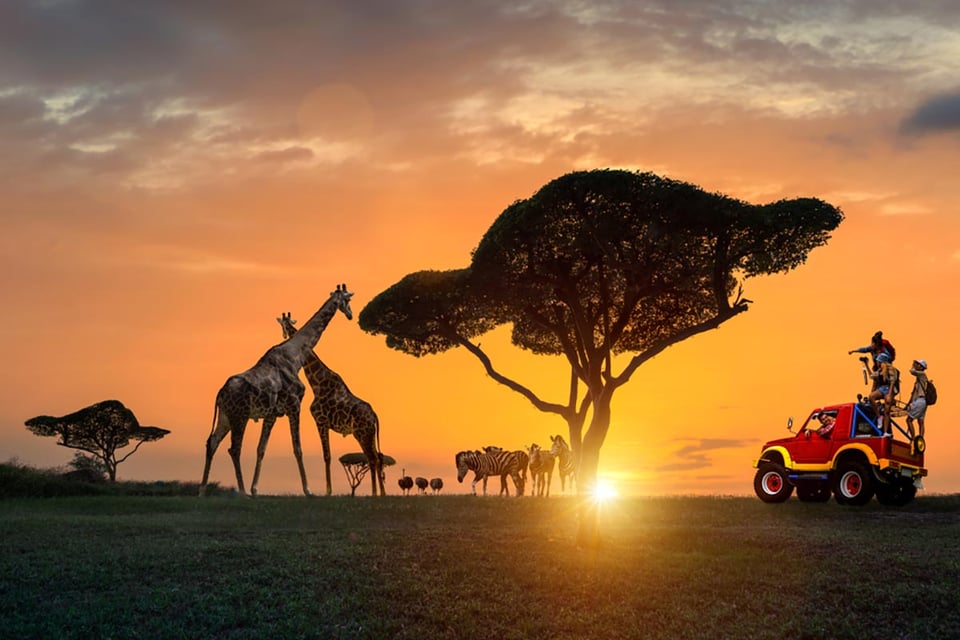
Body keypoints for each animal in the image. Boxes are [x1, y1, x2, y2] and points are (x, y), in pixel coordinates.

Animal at [198, 284, 354, 497]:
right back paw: (241, 491)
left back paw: (202, 491)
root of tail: (221, 392)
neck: (296, 356)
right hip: (240, 416)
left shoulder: (271, 414)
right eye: (348, 299)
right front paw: (308, 490)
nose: (350, 315)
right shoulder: (294, 405)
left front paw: (255, 489)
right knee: (234, 449)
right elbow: (297, 448)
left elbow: (261, 448)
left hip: (225, 416)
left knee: (212, 443)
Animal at [278, 312, 385, 496]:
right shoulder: (325, 424)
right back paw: (382, 493)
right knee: (378, 458)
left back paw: (373, 493)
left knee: (372, 459)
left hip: (362, 434)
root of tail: (374, 416)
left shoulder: (320, 421)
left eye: (283, 325)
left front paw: (328, 491)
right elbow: (327, 456)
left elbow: (326, 456)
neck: (316, 383)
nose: (284, 338)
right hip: (370, 434)